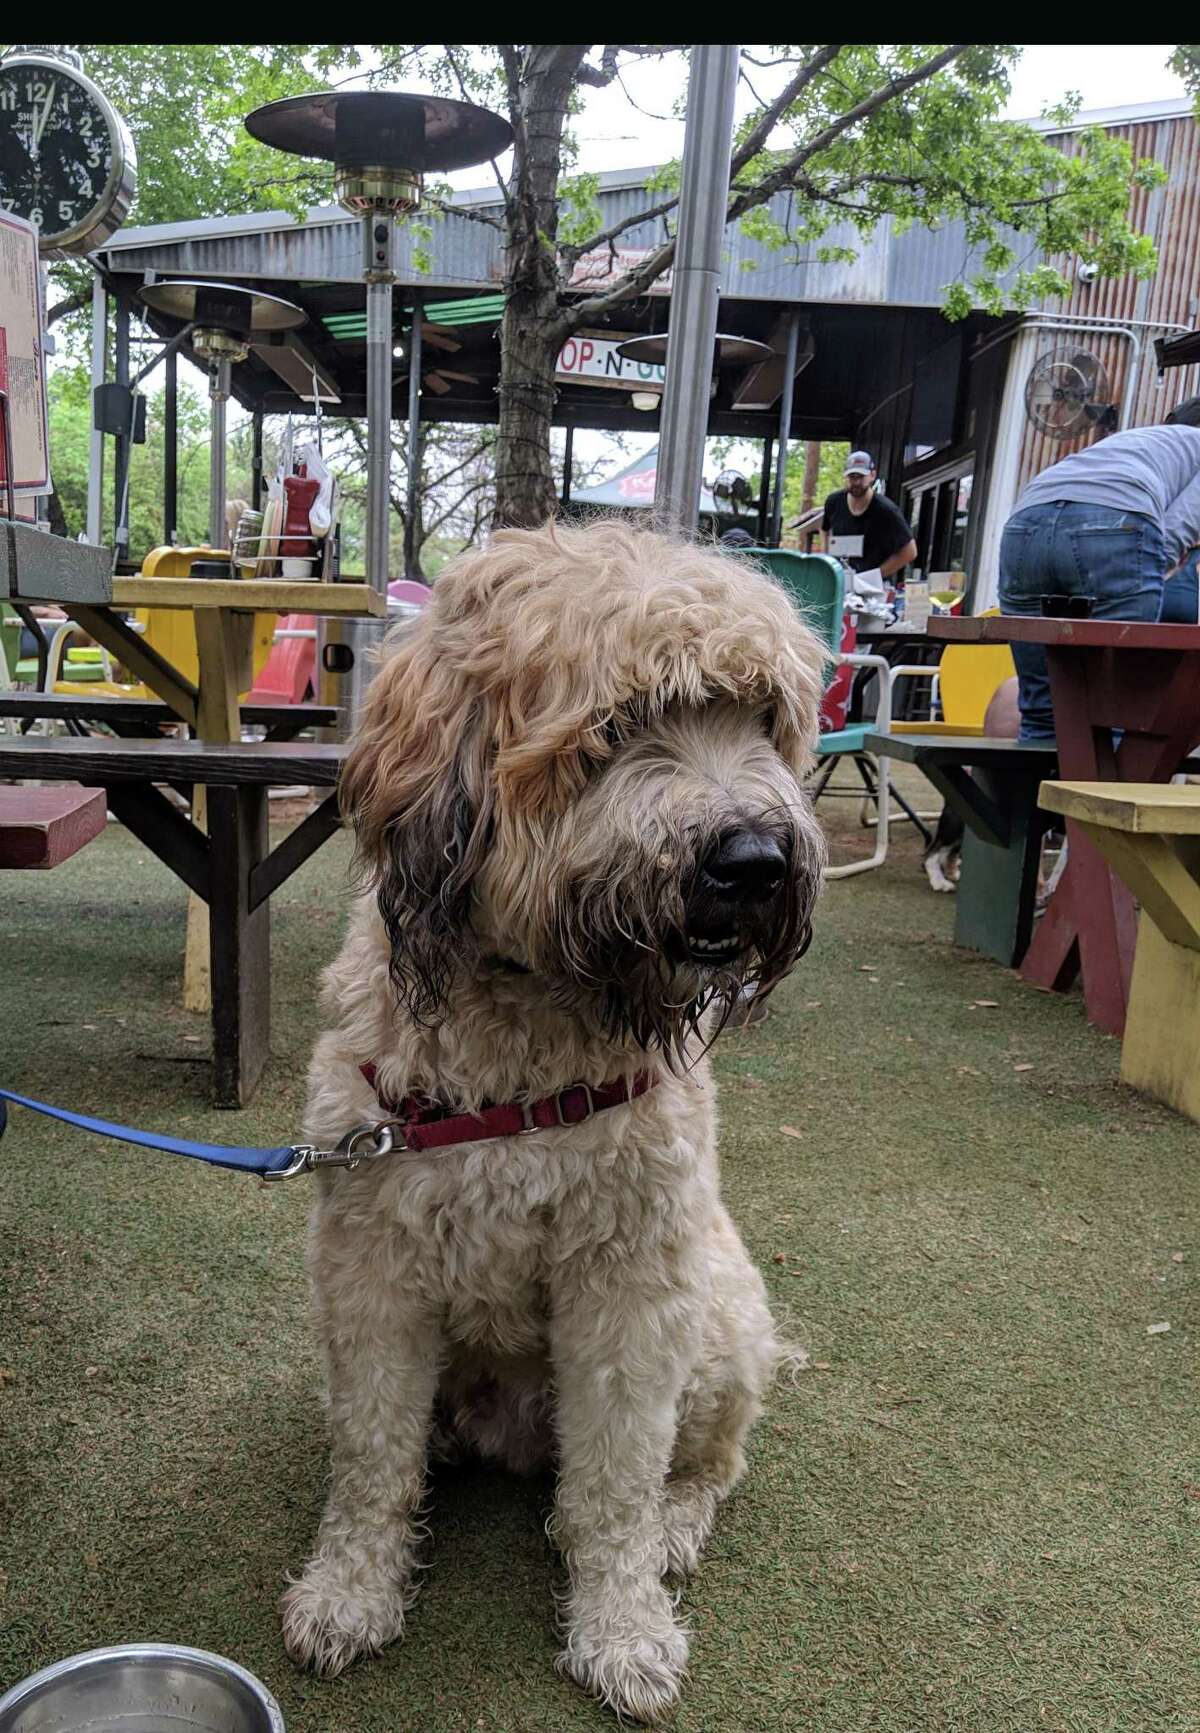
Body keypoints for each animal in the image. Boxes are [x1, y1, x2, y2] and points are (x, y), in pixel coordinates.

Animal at [280, 516, 825, 1719]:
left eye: (762, 718)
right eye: (620, 724)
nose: (756, 861)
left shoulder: (630, 1283)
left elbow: (614, 1483)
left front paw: (622, 1625)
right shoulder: (372, 1265)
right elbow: (372, 1454)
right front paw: (350, 1589)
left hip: (723, 1316)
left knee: (709, 1463)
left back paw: (675, 1526)